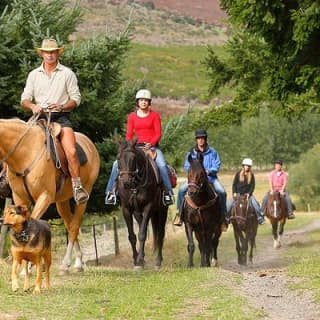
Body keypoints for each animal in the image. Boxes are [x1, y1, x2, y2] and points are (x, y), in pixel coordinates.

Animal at [0, 119, 99, 272]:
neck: (24, 153)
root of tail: (89, 143)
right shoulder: (19, 199)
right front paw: (25, 268)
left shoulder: (45, 197)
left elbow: (32, 225)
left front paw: (29, 266)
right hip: (62, 202)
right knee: (69, 225)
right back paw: (77, 262)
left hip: (83, 197)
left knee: (74, 227)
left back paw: (65, 264)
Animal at [116, 139, 169, 268]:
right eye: (118, 157)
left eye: (133, 158)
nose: (126, 182)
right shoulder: (126, 209)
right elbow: (132, 236)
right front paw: (137, 260)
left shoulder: (148, 207)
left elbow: (142, 234)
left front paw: (140, 260)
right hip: (139, 213)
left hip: (162, 211)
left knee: (161, 234)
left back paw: (158, 261)